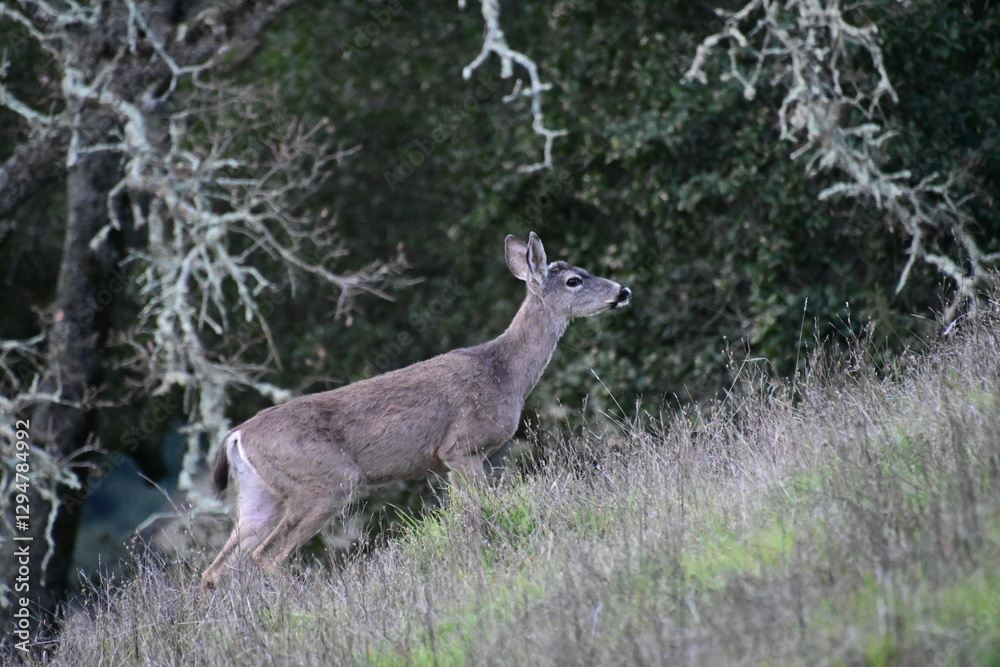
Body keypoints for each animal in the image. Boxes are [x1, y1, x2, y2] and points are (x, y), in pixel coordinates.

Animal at [201, 232, 631, 589]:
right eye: (574, 280)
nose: (623, 291)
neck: (504, 373)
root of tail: (238, 435)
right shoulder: (462, 447)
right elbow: (481, 510)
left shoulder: (450, 462)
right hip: (325, 481)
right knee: (267, 555)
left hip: (260, 495)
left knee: (218, 567)